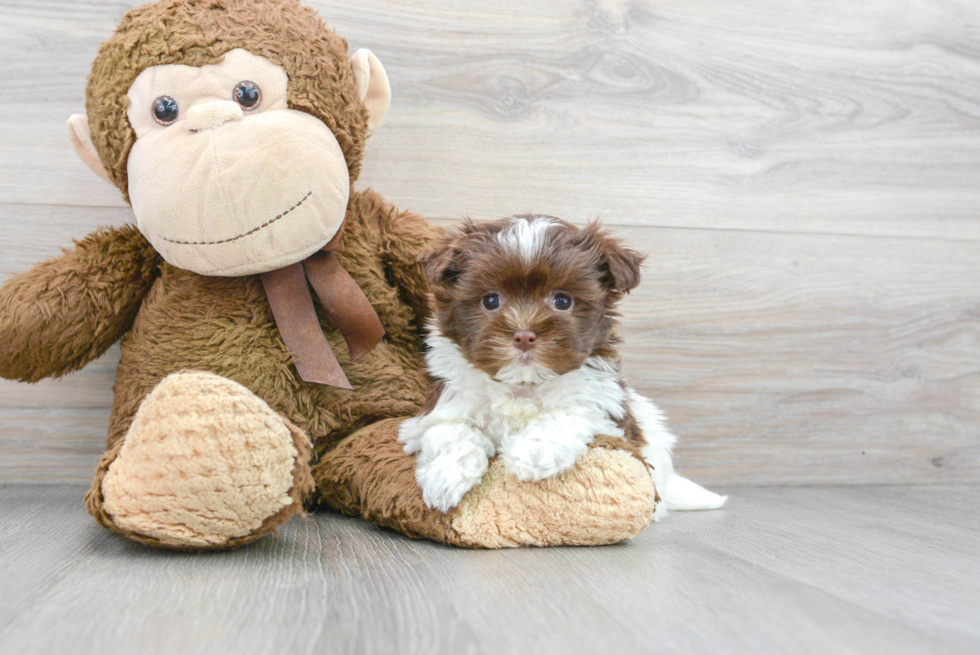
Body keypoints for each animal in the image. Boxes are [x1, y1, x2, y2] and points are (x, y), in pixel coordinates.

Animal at [398, 215, 728, 516]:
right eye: (490, 301)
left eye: (562, 301)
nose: (524, 335)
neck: (524, 385)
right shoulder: (442, 405)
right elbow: (448, 430)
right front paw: (445, 477)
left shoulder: (606, 406)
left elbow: (570, 412)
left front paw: (533, 452)